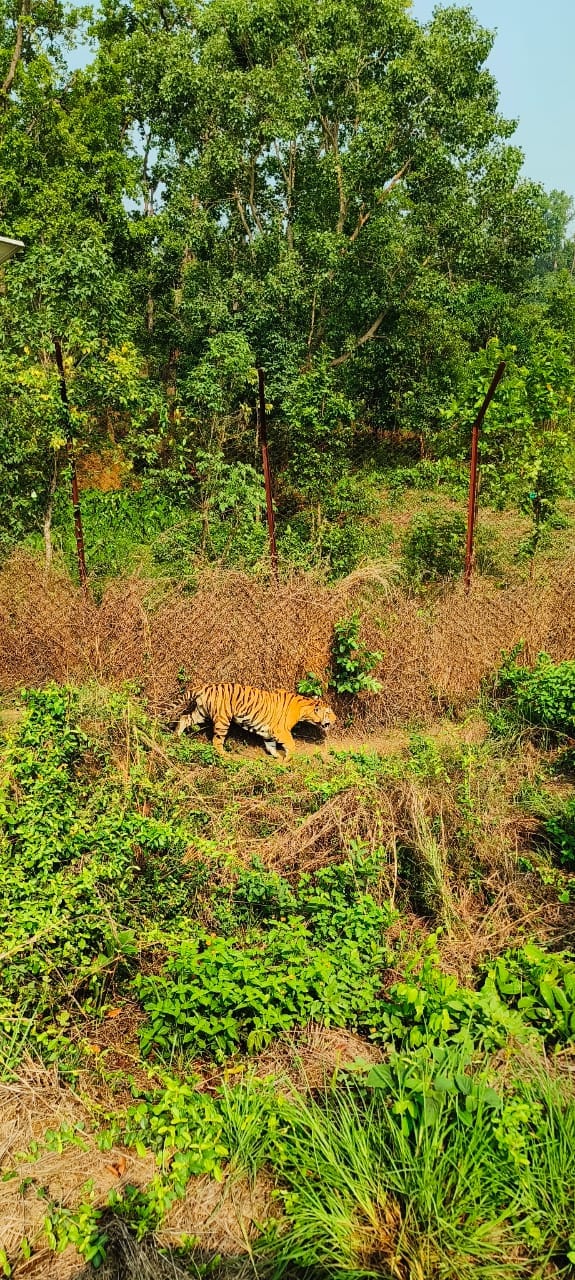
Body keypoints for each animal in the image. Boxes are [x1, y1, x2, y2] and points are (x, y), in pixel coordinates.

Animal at [168, 682, 336, 761]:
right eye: (329, 712)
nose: (336, 719)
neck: (304, 709)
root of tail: (205, 687)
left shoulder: (269, 732)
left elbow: (270, 745)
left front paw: (277, 757)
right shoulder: (281, 731)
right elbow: (292, 745)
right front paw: (287, 760)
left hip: (201, 713)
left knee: (184, 718)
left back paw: (176, 737)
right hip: (223, 719)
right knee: (216, 741)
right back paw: (226, 756)